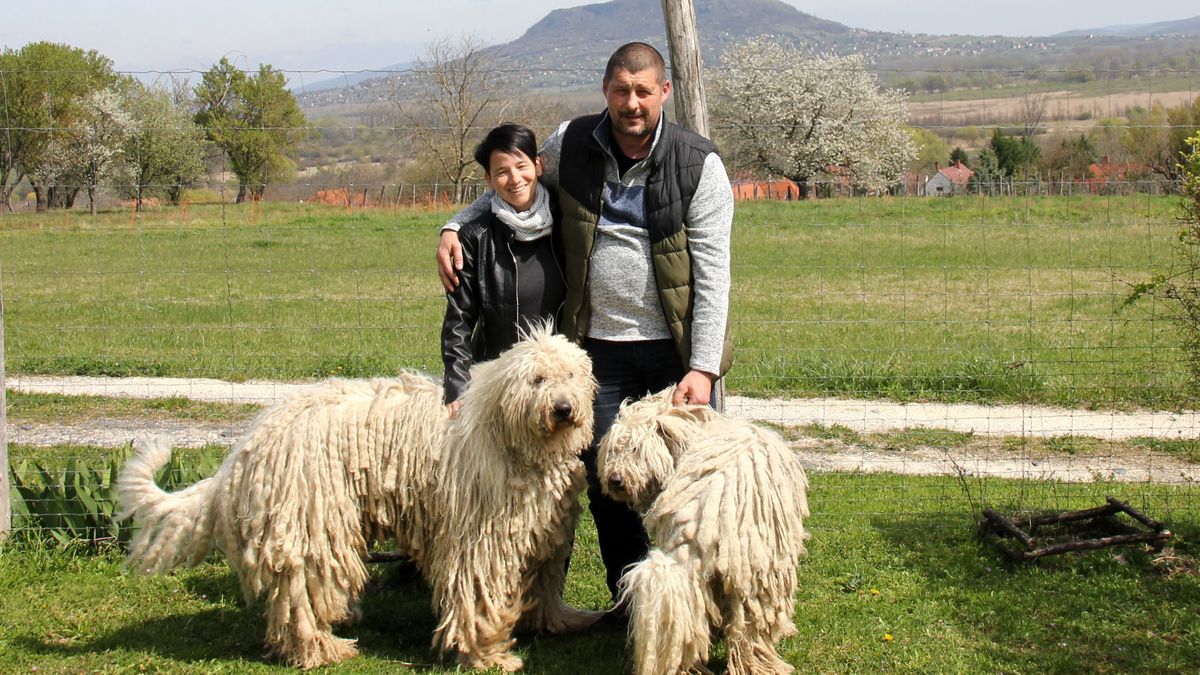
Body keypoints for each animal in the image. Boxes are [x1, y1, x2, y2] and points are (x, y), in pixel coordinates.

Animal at [117, 326, 595, 667]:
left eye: (571, 375)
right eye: (537, 380)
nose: (563, 408)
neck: (505, 431)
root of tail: (249, 446)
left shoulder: (536, 528)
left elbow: (542, 579)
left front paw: (556, 621)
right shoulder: (479, 537)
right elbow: (477, 591)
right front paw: (488, 654)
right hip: (312, 519)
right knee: (301, 596)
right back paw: (322, 649)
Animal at [597, 389, 811, 672]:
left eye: (636, 449)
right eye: (614, 450)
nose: (615, 480)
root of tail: (702, 518)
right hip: (754, 572)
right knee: (749, 629)